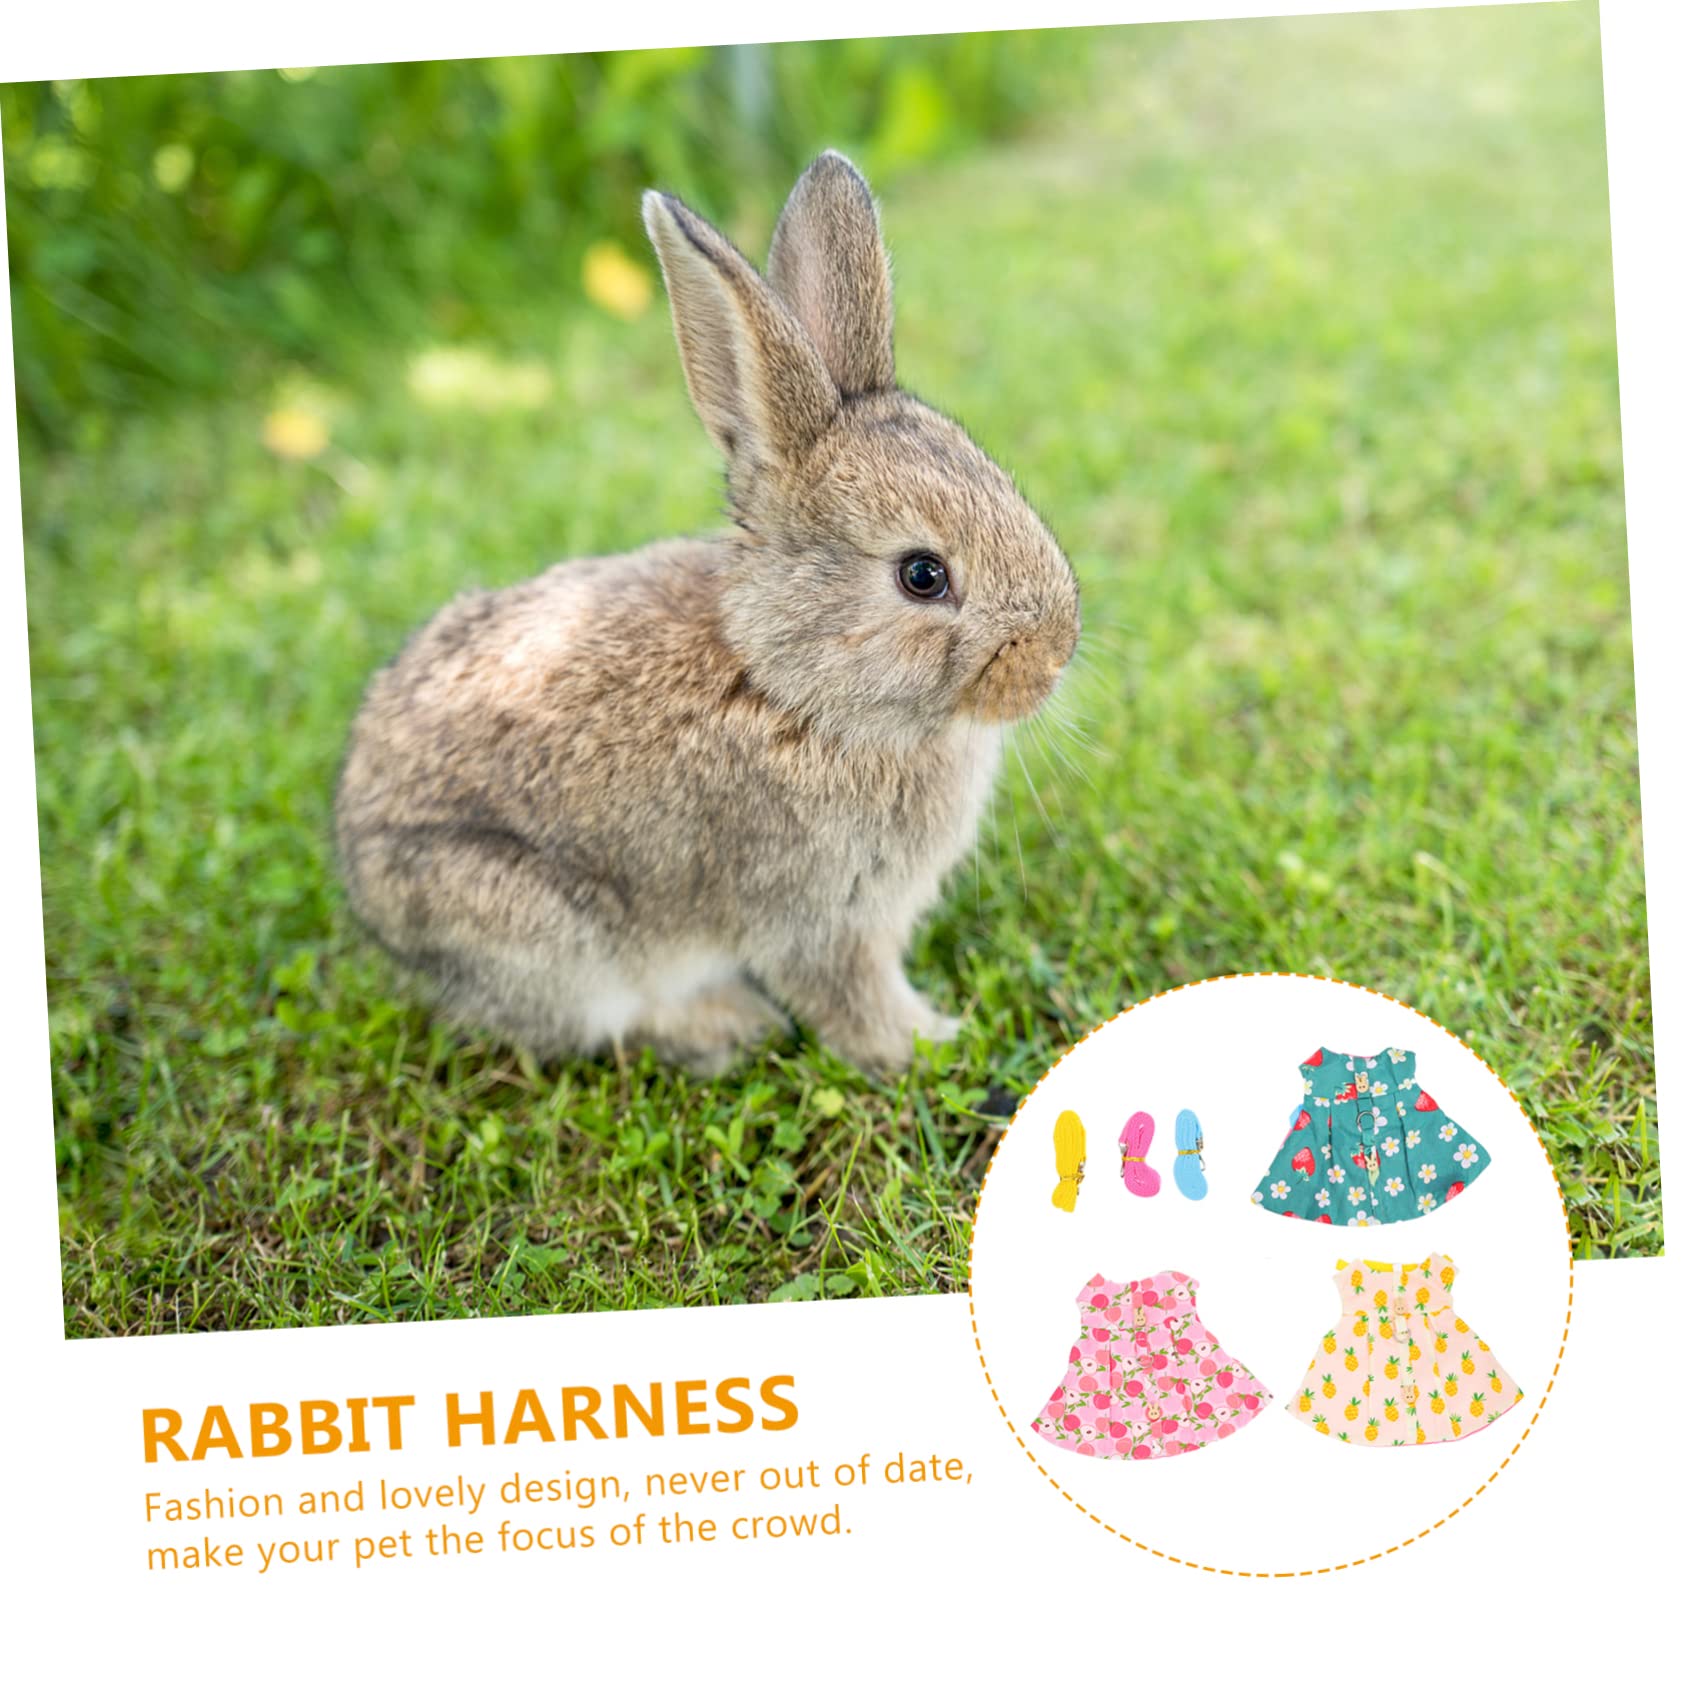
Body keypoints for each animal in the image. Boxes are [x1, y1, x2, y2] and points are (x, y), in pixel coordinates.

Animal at [334, 151, 1080, 1076]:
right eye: (922, 575)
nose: (1055, 654)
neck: (788, 689)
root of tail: (359, 874)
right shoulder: (819, 917)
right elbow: (852, 1001)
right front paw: (932, 1042)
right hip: (534, 929)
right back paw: (725, 1023)